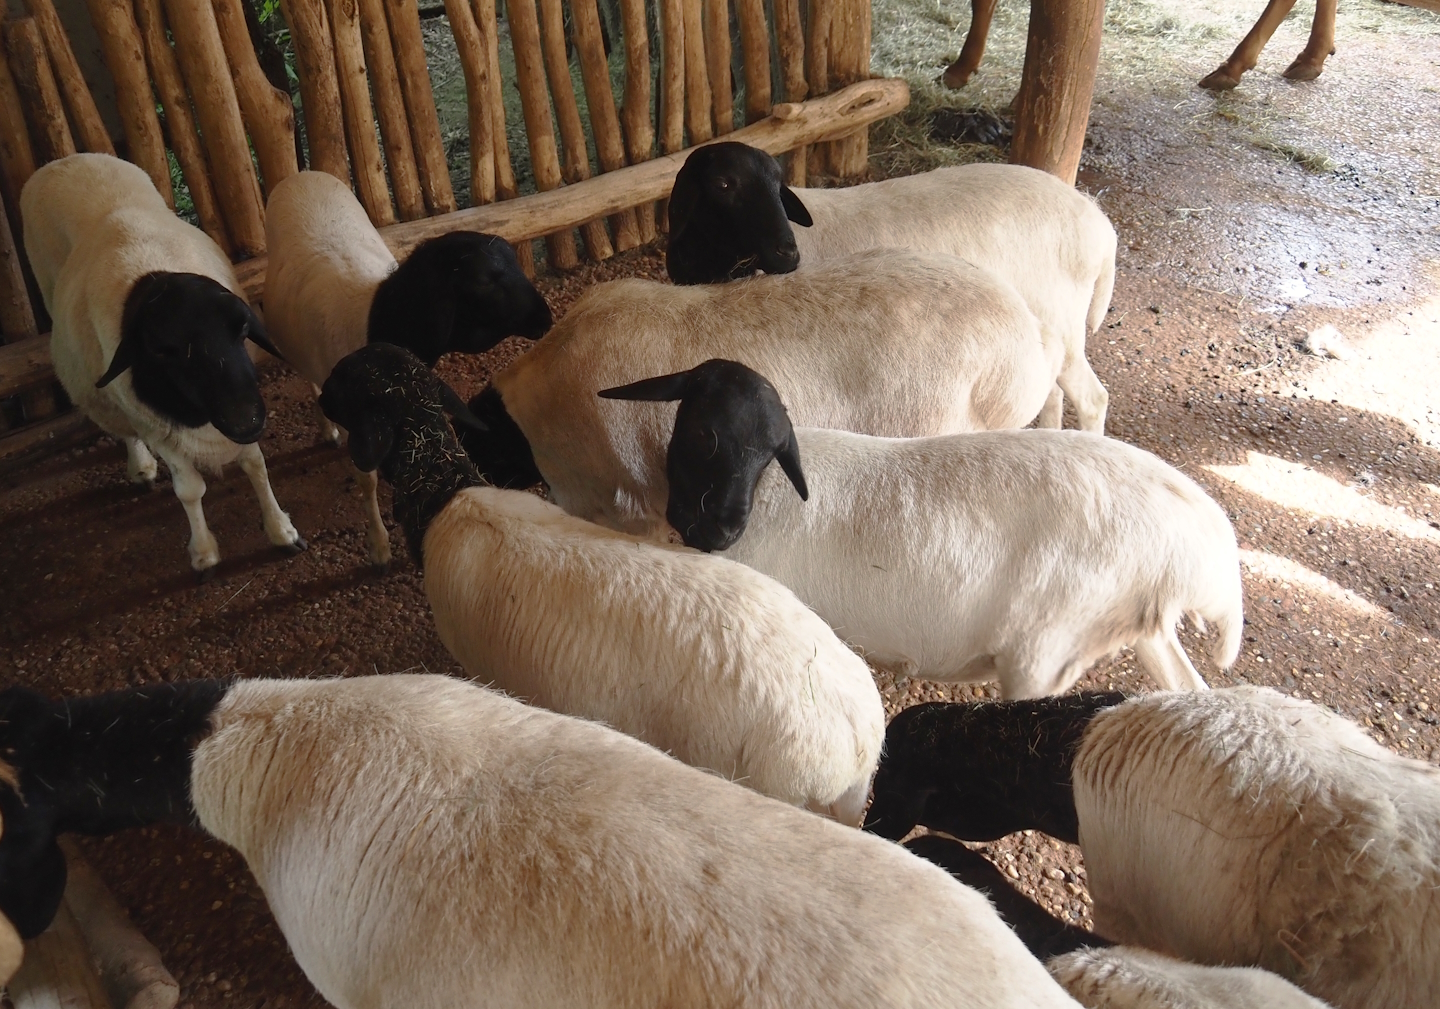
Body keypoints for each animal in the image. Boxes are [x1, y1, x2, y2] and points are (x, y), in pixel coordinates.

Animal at [21, 153, 305, 576]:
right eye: (159, 350)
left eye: (242, 329)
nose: (245, 419)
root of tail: (65, 161)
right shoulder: (155, 426)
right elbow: (189, 490)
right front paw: (203, 553)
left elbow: (255, 463)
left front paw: (281, 529)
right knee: (121, 427)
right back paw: (140, 466)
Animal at [262, 170, 552, 570]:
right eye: (484, 281)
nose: (546, 317)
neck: (376, 318)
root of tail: (299, 174)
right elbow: (365, 479)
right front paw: (379, 546)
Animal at [602, 360, 1241, 697]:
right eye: (699, 431)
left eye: (767, 451)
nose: (719, 529)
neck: (766, 495)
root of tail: (1195, 533)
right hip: (1140, 627)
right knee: (1187, 685)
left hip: (1044, 651)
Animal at [664, 142, 1115, 432]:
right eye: (723, 184)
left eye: (779, 184)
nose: (788, 254)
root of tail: (1098, 222)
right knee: (1052, 394)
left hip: (1062, 321)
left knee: (1091, 399)